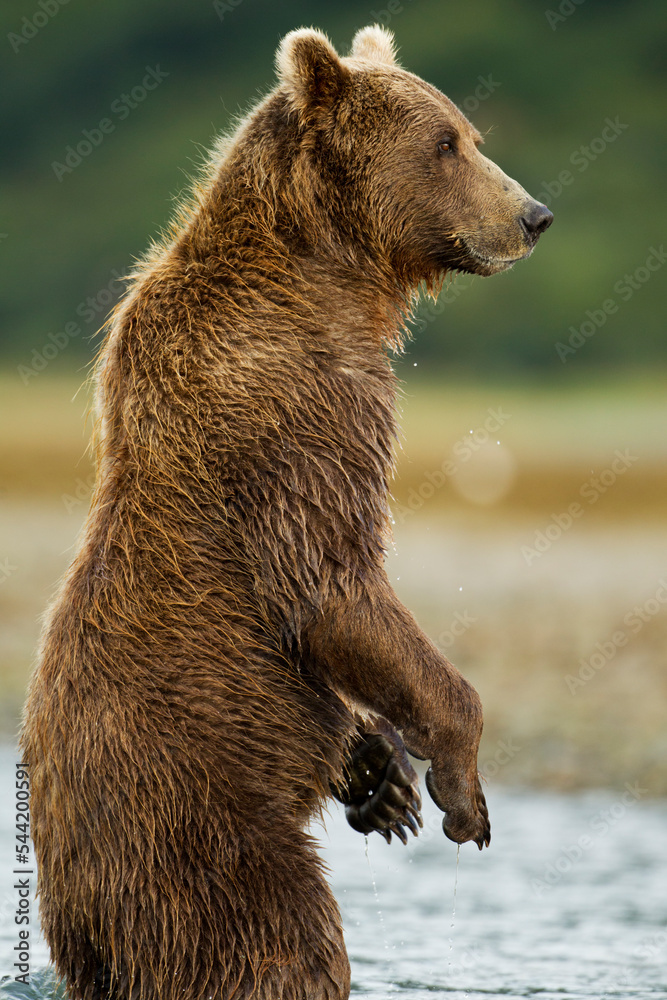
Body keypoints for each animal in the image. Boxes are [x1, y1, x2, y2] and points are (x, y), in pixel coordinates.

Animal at [21, 24, 552, 1000]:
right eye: (447, 143)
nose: (533, 215)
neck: (326, 279)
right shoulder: (297, 420)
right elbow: (334, 587)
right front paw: (461, 792)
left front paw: (384, 777)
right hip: (196, 832)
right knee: (276, 940)